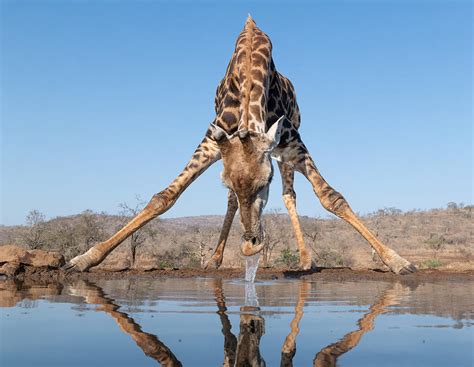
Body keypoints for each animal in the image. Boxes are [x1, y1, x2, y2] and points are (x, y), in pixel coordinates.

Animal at [63, 15, 414, 274]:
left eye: (265, 182)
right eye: (228, 181)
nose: (250, 245)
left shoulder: (291, 142)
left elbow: (332, 198)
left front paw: (398, 261)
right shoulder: (213, 141)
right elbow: (164, 197)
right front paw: (83, 259)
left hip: (286, 149)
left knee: (290, 196)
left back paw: (305, 260)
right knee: (234, 203)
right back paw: (215, 259)